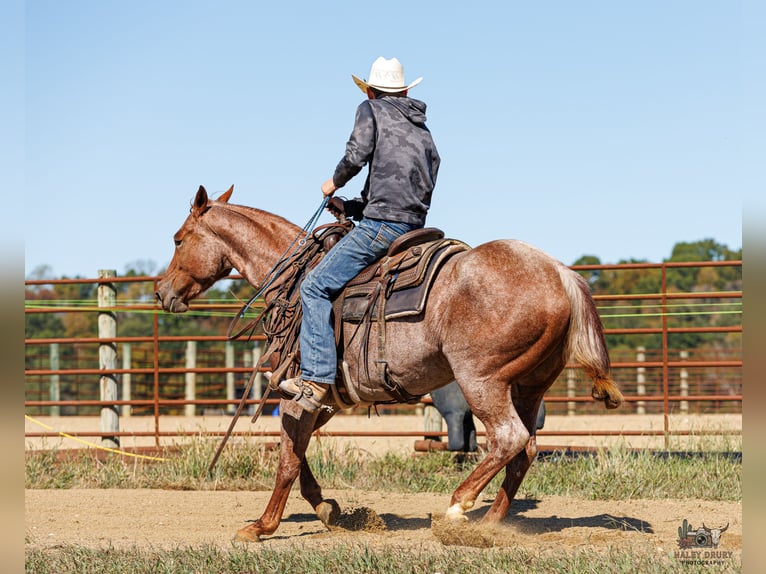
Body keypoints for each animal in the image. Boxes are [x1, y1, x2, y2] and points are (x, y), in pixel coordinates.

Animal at [155, 185, 624, 542]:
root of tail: (560, 272)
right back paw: (488, 524)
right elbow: (298, 451)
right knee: (525, 449)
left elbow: (287, 458)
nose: (162, 292)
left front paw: (261, 526)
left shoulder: (298, 392)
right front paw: (325, 507)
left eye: (178, 239)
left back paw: (457, 508)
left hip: (483, 381)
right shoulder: (324, 400)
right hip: (529, 386)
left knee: (509, 439)